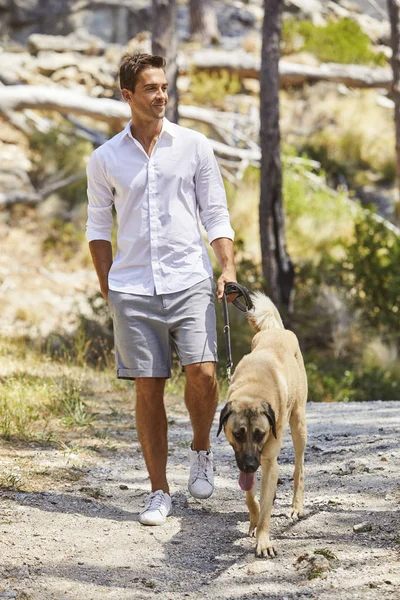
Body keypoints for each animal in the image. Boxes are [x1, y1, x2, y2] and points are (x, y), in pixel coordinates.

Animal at [217, 290, 308, 556]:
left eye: (260, 434)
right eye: (238, 434)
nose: (249, 465)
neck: (254, 391)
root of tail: (277, 330)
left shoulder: (267, 459)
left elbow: (266, 507)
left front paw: (264, 540)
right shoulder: (242, 458)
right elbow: (250, 497)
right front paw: (254, 522)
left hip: (299, 424)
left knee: (299, 468)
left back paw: (296, 506)